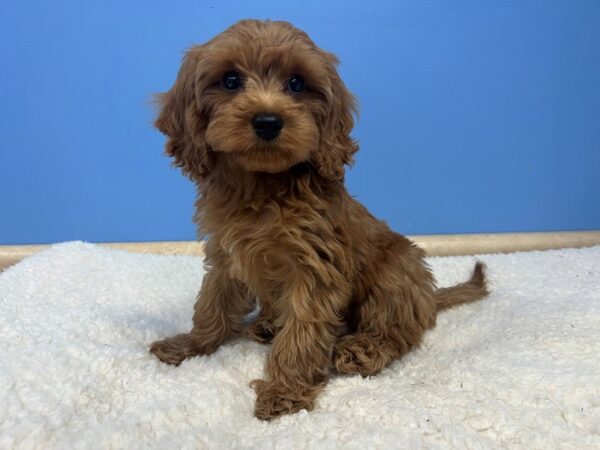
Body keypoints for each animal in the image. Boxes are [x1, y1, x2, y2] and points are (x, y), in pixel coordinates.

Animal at [150, 19, 488, 420]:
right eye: (230, 80)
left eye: (296, 84)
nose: (268, 121)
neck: (263, 184)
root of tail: (428, 298)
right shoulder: (226, 254)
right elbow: (212, 303)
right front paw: (190, 344)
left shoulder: (315, 265)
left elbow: (302, 332)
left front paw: (285, 389)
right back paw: (267, 325)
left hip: (396, 271)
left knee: (397, 332)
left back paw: (362, 348)